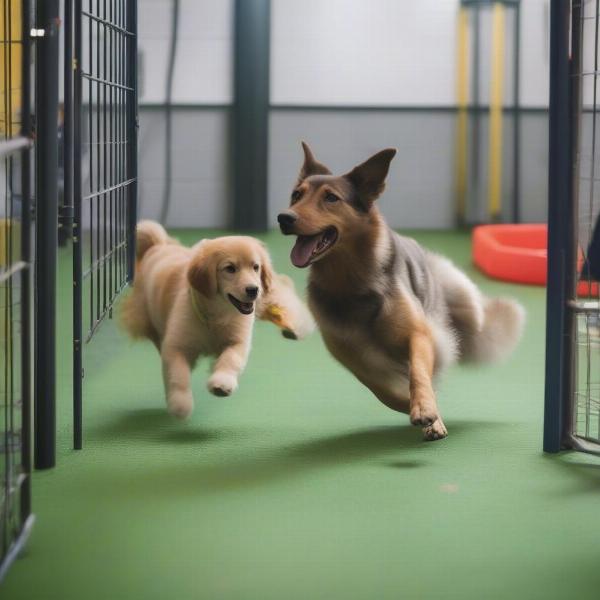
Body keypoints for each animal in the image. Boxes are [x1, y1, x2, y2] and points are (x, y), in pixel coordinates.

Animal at [119, 220, 312, 418]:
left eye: (256, 267)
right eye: (230, 269)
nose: (253, 289)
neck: (217, 315)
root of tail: (159, 245)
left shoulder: (238, 340)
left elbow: (230, 359)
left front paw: (222, 383)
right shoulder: (176, 345)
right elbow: (177, 374)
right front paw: (180, 403)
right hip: (146, 317)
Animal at [278, 142, 524, 440]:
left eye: (331, 198)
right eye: (296, 195)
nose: (284, 218)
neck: (351, 280)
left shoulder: (418, 335)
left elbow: (419, 374)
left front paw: (426, 410)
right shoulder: (355, 358)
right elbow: (384, 391)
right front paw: (421, 411)